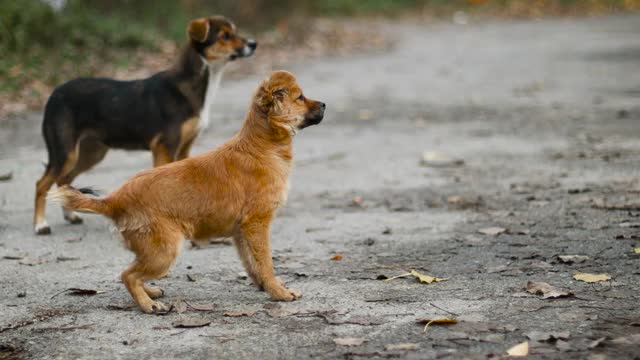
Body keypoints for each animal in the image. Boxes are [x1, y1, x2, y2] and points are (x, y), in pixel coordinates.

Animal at [34, 15, 255, 235]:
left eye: (235, 32)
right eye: (225, 35)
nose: (253, 44)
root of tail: (54, 94)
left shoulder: (185, 147)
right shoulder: (165, 146)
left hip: (91, 152)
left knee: (64, 180)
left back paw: (70, 215)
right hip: (66, 152)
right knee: (42, 183)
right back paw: (40, 225)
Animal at [49, 70, 324, 312]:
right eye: (300, 97)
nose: (324, 104)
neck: (261, 146)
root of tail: (114, 199)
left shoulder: (241, 232)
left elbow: (252, 263)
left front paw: (265, 286)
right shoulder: (257, 224)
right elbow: (266, 263)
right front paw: (279, 292)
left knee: (132, 271)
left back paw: (150, 292)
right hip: (165, 250)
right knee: (128, 275)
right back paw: (148, 305)